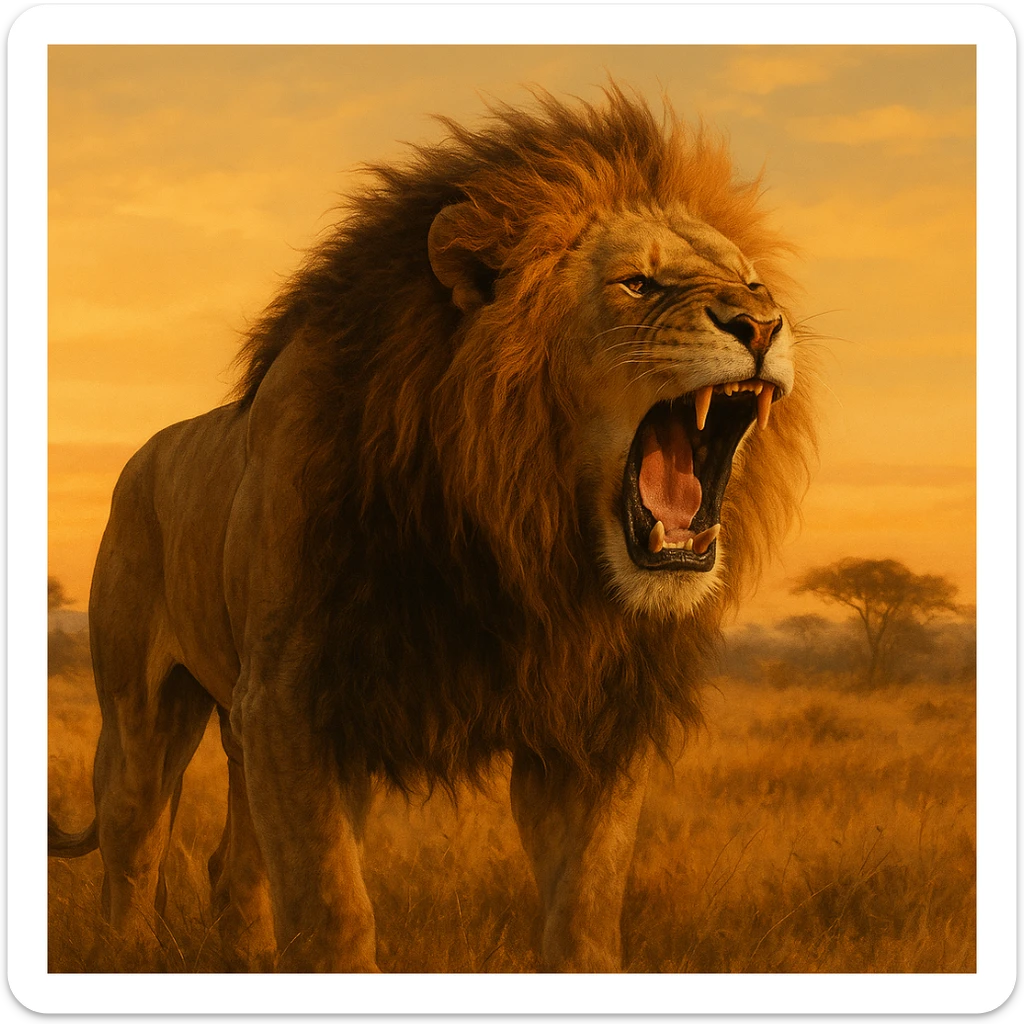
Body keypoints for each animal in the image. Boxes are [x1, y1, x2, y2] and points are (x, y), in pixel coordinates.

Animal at [48, 86, 817, 972]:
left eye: (751, 281)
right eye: (637, 283)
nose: (762, 324)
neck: (515, 535)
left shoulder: (589, 724)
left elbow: (584, 914)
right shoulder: (296, 700)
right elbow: (333, 914)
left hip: (236, 727)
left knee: (232, 866)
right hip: (144, 711)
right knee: (134, 847)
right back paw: (126, 953)